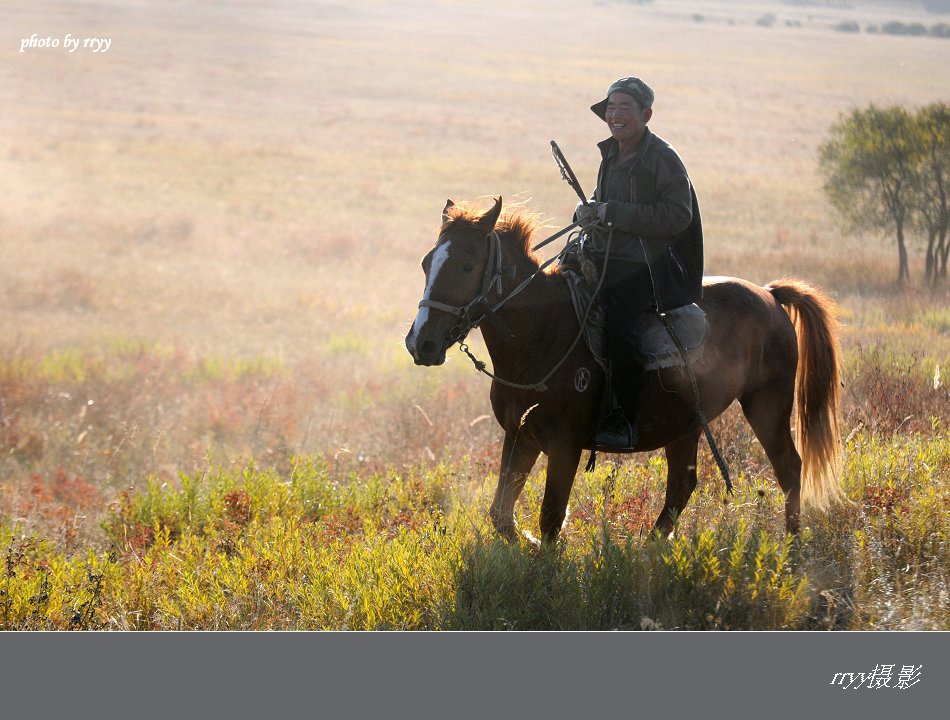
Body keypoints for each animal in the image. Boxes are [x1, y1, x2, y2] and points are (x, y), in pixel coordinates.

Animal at [406, 194, 844, 544]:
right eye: (427, 263)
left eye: (467, 266)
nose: (420, 342)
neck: (542, 334)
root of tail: (769, 296)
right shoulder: (520, 436)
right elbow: (501, 514)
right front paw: (524, 546)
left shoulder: (564, 445)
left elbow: (550, 519)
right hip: (686, 423)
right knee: (682, 485)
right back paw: (649, 549)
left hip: (767, 406)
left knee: (789, 469)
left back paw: (792, 551)